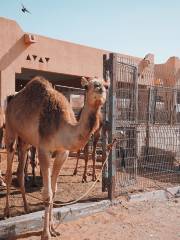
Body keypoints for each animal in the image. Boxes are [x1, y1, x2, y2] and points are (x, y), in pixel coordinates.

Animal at [4, 75, 109, 240]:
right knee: (9, 171)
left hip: (26, 140)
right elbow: (47, 194)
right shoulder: (44, 150)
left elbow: (54, 191)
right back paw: (7, 212)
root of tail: (12, 98)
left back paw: (27, 207)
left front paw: (53, 228)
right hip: (10, 130)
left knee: (20, 172)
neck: (62, 127)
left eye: (106, 85)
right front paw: (45, 234)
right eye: (86, 86)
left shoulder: (62, 153)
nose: (100, 88)